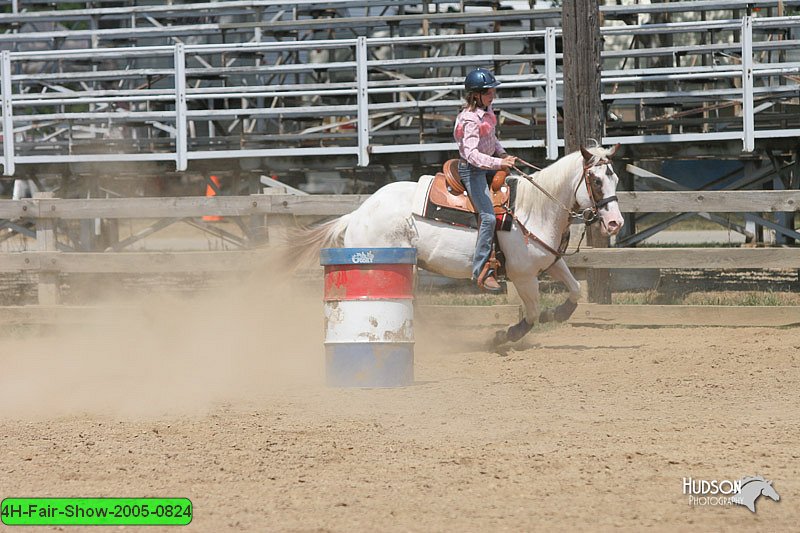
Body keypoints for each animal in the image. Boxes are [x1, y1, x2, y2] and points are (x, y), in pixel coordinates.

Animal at [294, 145, 624, 344]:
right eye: (596, 181)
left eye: (616, 178)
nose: (615, 223)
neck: (535, 208)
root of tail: (356, 214)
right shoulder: (524, 276)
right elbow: (530, 313)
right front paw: (505, 336)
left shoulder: (550, 262)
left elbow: (576, 290)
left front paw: (557, 314)